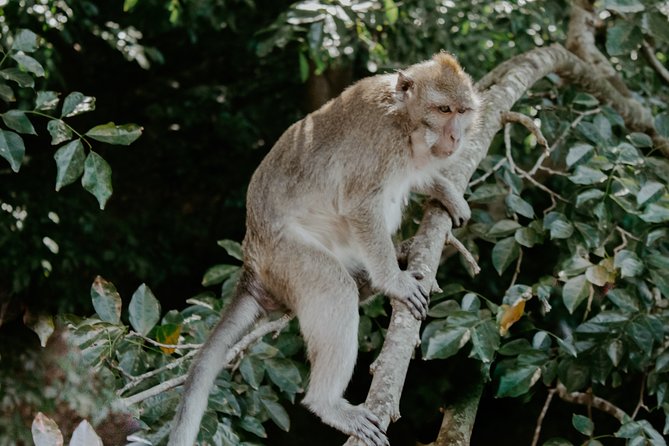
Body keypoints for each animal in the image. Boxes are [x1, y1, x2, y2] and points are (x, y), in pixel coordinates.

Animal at [168, 52, 480, 446]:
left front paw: (446, 192)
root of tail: (252, 260)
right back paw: (326, 403)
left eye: (462, 111)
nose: (456, 136)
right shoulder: (379, 144)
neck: (406, 122)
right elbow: (360, 205)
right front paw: (394, 281)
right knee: (334, 289)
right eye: (443, 109)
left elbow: (416, 177)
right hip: (286, 258)